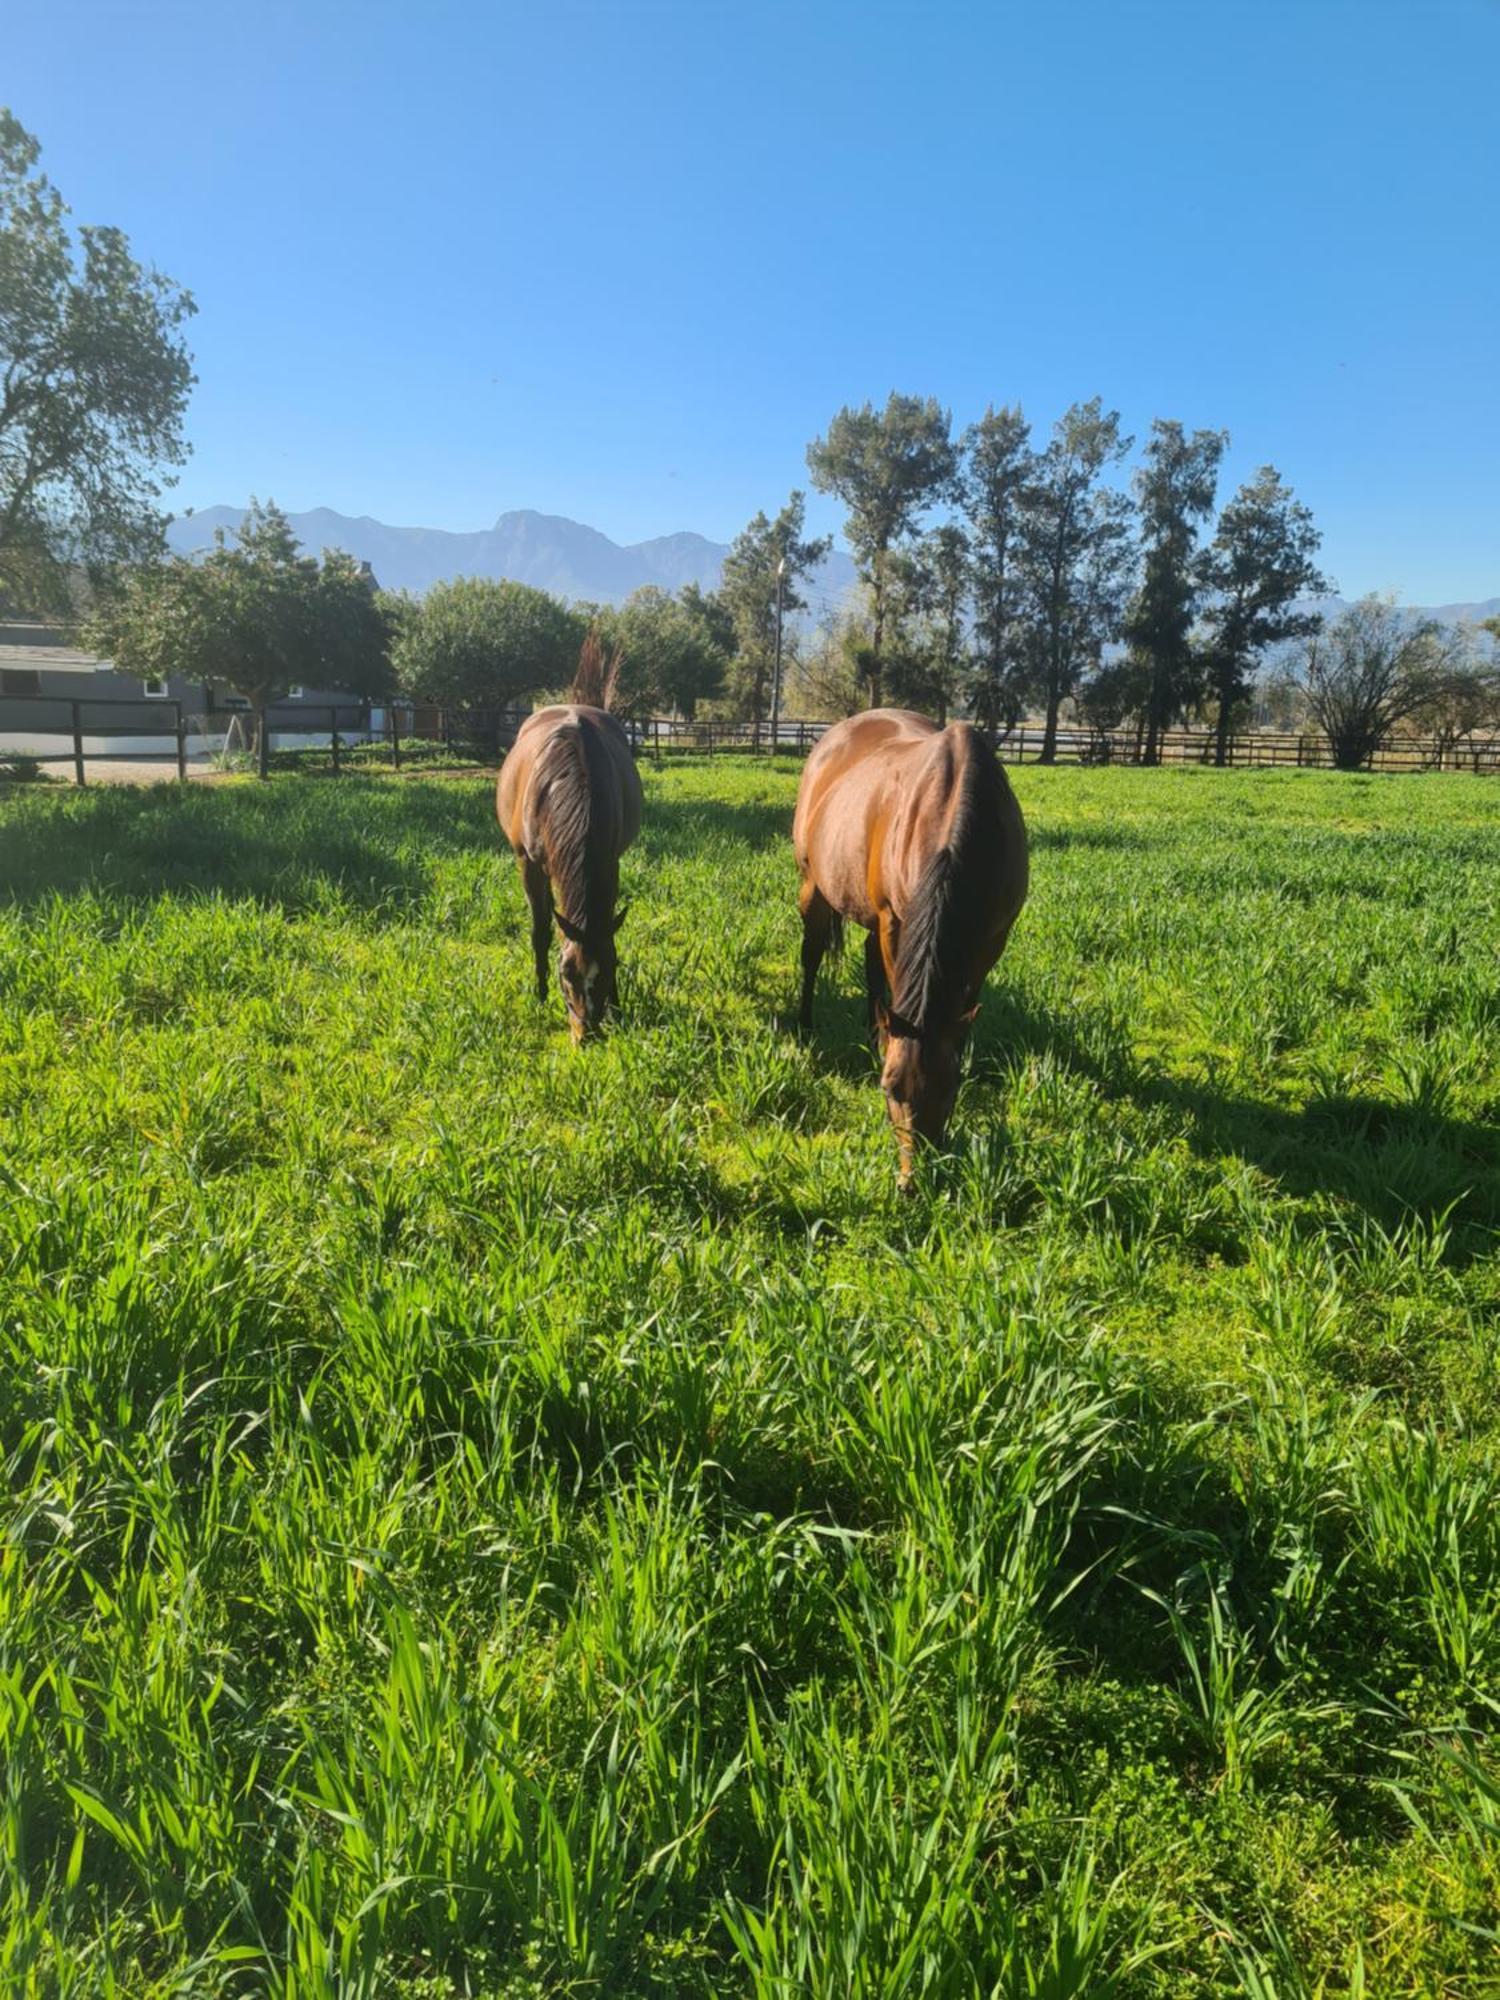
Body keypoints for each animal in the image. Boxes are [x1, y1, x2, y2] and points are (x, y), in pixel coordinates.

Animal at [496, 704, 644, 1040]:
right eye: (565, 972)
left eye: (611, 966)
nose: (586, 1034)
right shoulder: (529, 864)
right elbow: (540, 932)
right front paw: (540, 995)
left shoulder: (610, 863)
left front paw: (616, 1009)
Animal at [800, 712, 1032, 1176]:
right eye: (888, 1088)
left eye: (951, 1088)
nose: (912, 1179)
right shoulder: (895, 919)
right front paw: (882, 1044)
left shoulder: (994, 938)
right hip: (815, 884)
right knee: (812, 953)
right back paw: (804, 1024)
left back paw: (871, 1028)